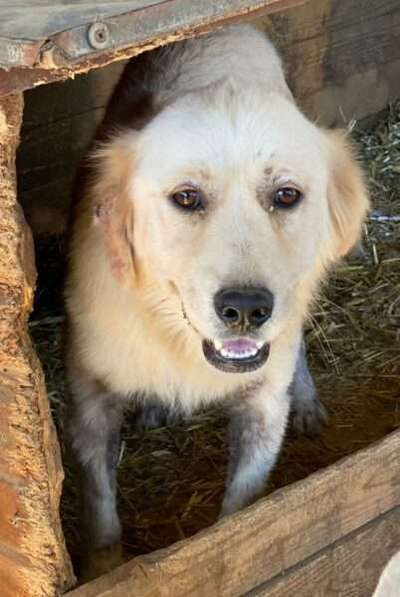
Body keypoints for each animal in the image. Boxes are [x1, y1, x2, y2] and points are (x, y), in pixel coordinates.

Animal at [65, 24, 368, 576]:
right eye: (186, 198)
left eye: (287, 195)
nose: (246, 308)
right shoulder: (89, 402)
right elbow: (100, 511)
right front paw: (104, 569)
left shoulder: (264, 404)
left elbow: (239, 516)